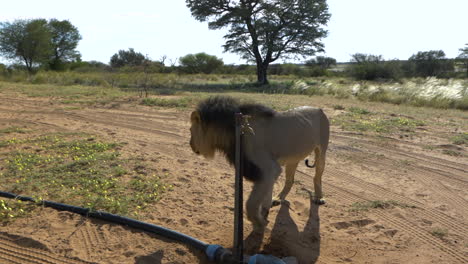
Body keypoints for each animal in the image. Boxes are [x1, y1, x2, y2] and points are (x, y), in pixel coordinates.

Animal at [189, 96, 330, 232]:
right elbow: (265, 197)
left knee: (317, 176)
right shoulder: (266, 170)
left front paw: (259, 223)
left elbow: (251, 204)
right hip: (293, 159)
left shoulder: (269, 169)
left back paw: (319, 198)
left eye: (190, 130)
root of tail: (319, 109)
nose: (190, 145)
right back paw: (278, 198)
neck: (235, 130)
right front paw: (265, 212)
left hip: (321, 151)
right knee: (290, 180)